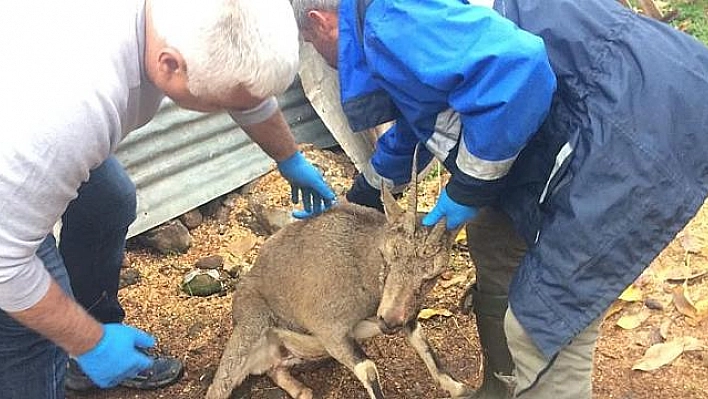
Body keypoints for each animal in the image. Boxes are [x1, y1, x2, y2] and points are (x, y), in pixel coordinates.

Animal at [205, 151, 470, 399]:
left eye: (432, 277)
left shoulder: (405, 316)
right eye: (386, 256)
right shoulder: (329, 330)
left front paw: (458, 388)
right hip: (252, 325)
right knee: (218, 387)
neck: (363, 269)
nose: (388, 322)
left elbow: (423, 343)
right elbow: (368, 369)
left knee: (274, 369)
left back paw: (301, 390)